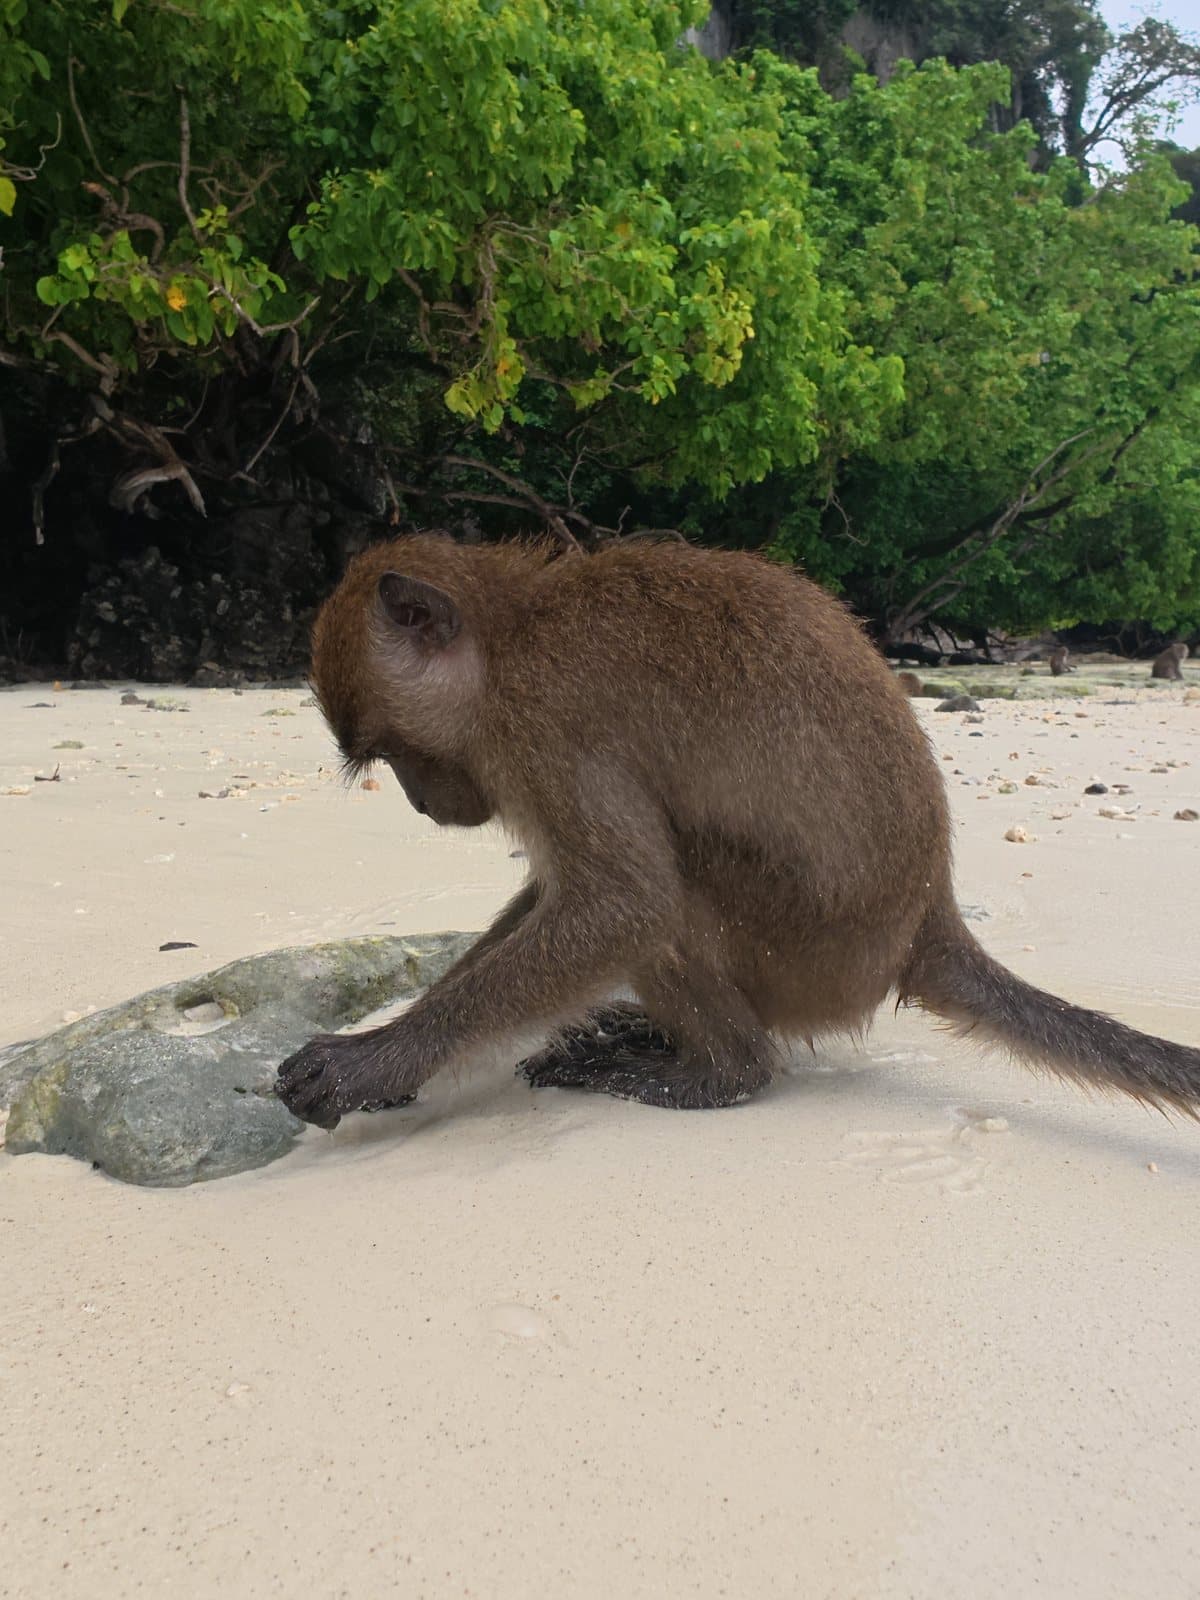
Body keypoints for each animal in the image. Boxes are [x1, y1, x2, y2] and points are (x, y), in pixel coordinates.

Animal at [275, 535, 1200, 1130]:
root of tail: (928, 920)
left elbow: (626, 903)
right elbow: (562, 893)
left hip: (811, 957)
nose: (420, 804)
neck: (508, 634)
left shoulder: (544, 731)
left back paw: (719, 1073)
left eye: (396, 753)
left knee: (679, 898)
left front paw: (381, 1057)